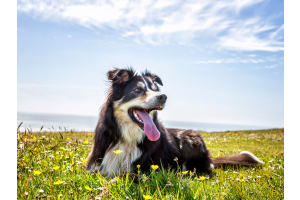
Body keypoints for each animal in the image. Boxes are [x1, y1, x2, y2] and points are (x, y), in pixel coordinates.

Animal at [85, 68, 262, 177]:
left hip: (190, 137)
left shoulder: (142, 171)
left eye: (155, 89)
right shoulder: (94, 167)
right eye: (137, 90)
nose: (163, 96)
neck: (127, 137)